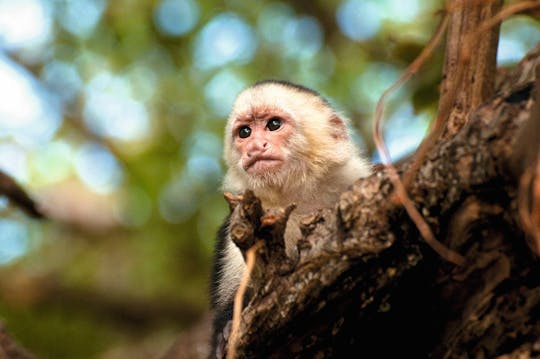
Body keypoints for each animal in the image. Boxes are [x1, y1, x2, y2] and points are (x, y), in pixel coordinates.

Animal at [208, 80, 372, 356]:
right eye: (245, 132)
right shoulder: (241, 216)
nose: (254, 147)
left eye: (274, 125)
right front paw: (227, 329)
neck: (298, 198)